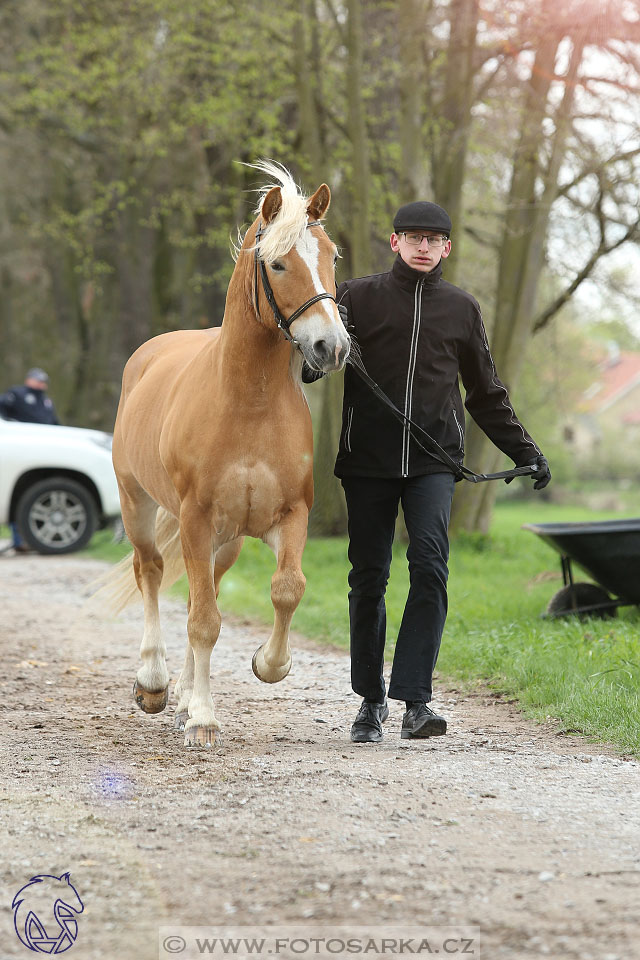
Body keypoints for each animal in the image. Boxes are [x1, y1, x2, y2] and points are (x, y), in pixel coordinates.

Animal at [103, 163, 350, 752]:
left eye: (332, 257)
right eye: (278, 262)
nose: (332, 347)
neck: (249, 403)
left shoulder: (291, 516)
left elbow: (286, 590)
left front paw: (268, 664)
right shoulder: (194, 518)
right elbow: (202, 622)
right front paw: (203, 720)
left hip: (227, 541)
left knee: (205, 590)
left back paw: (182, 695)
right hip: (137, 503)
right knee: (152, 572)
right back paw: (154, 684)